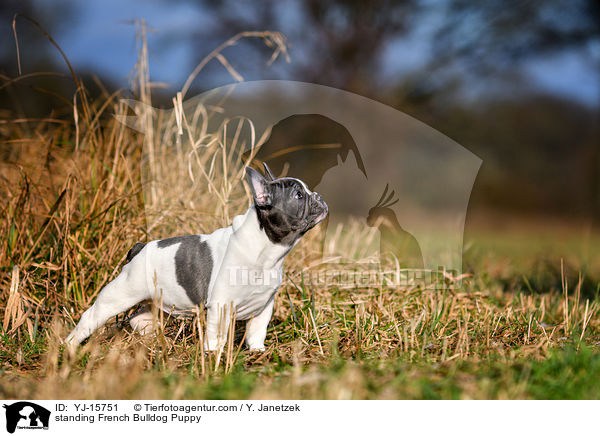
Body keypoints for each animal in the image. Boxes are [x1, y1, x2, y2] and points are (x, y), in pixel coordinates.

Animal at [64, 164, 328, 350]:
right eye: (298, 195)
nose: (318, 196)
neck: (266, 249)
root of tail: (140, 248)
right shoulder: (221, 306)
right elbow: (216, 336)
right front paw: (213, 356)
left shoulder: (264, 306)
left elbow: (256, 332)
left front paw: (257, 352)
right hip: (119, 295)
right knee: (91, 317)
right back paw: (68, 347)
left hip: (156, 301)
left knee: (140, 318)